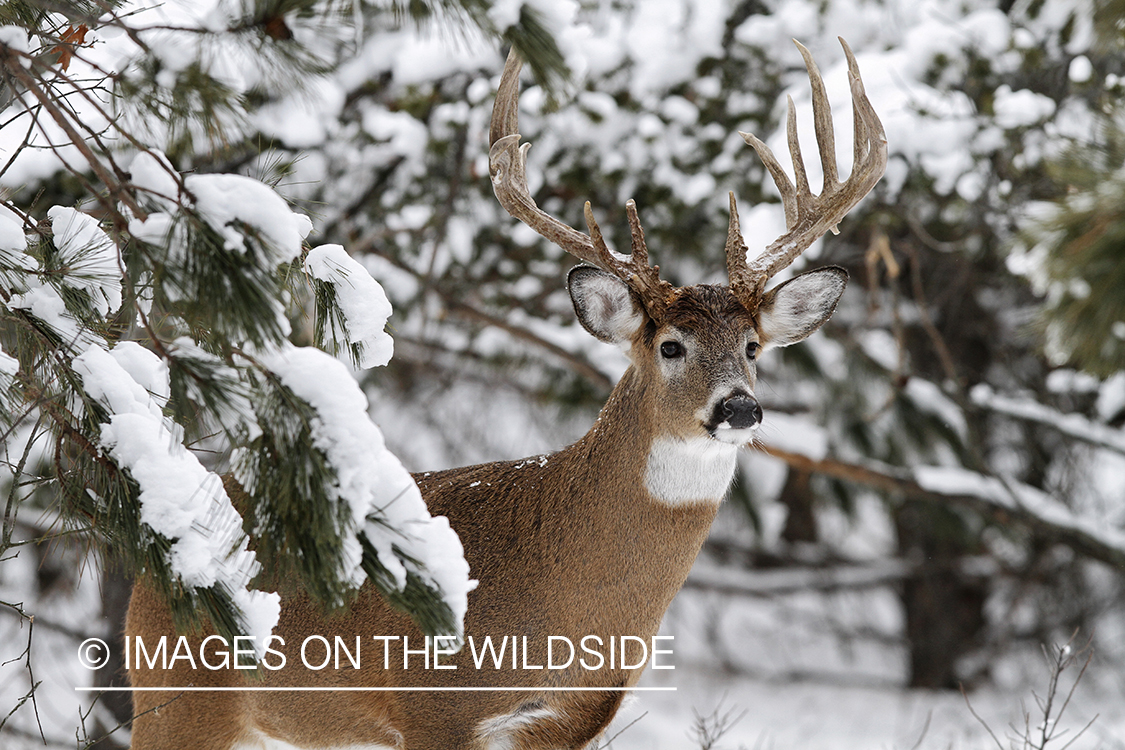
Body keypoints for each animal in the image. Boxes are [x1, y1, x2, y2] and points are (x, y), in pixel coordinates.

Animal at [125, 38, 886, 750]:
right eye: (670, 345)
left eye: (754, 348)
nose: (739, 407)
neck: (570, 612)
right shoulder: (435, 705)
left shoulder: (565, 724)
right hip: (178, 697)